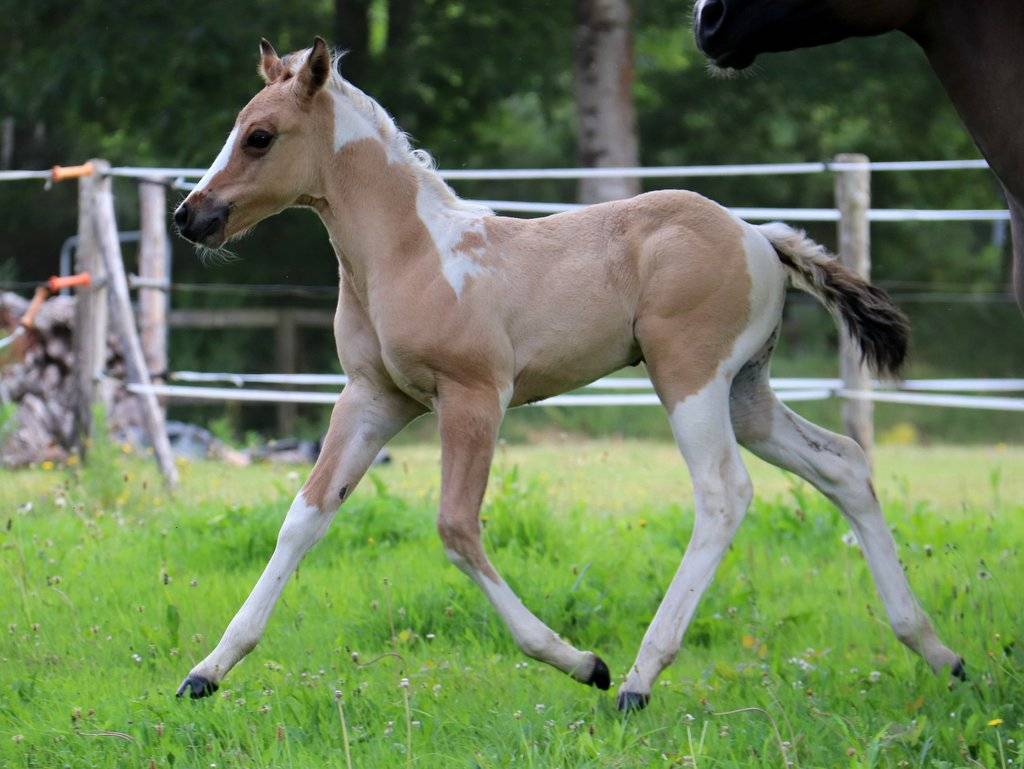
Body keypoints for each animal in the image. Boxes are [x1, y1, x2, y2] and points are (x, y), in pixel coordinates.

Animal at [172, 38, 963, 711]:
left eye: (260, 136)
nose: (190, 216)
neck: (412, 252)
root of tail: (758, 236)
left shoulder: (474, 397)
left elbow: (456, 528)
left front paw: (582, 662)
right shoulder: (374, 400)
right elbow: (304, 517)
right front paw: (206, 672)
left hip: (690, 376)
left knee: (723, 494)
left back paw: (638, 678)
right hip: (748, 393)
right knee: (843, 464)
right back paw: (936, 651)